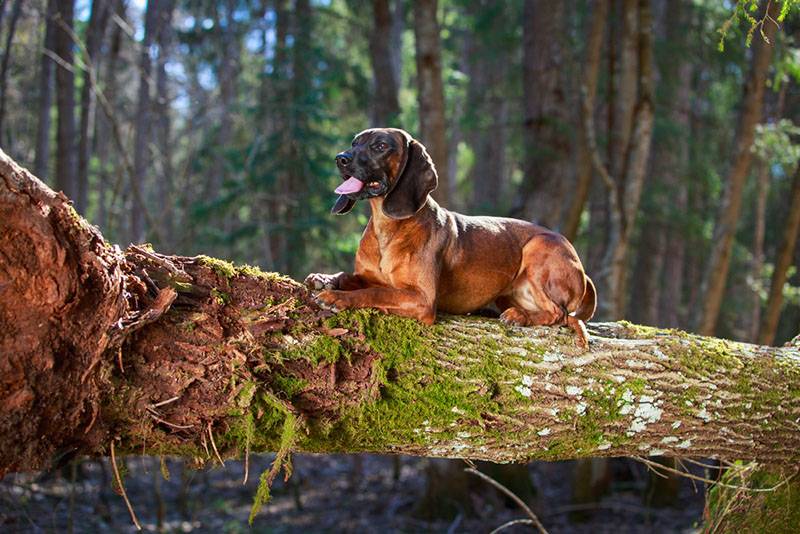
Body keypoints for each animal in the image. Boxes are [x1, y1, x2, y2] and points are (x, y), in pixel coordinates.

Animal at [304, 128, 596, 350]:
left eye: (380, 146)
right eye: (354, 142)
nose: (340, 158)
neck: (387, 227)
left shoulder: (421, 299)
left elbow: (376, 291)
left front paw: (337, 298)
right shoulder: (366, 276)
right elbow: (351, 277)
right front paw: (325, 279)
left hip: (539, 247)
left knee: (558, 313)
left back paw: (519, 315)